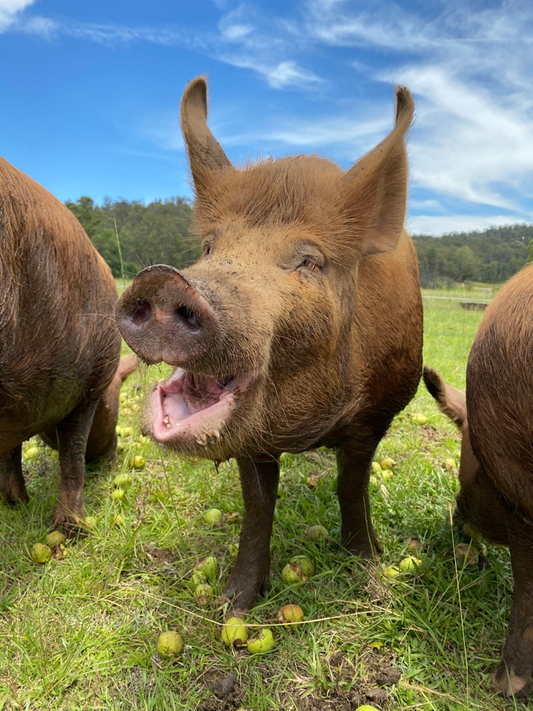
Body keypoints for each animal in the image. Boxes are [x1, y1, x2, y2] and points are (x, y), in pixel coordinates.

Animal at [0, 156, 128, 536]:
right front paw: (69, 531)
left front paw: (60, 529)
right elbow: (72, 455)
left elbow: (66, 457)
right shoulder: (91, 383)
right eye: (116, 389)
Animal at [117, 76, 424, 612]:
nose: (164, 280)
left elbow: (352, 484)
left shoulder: (375, 416)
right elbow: (258, 503)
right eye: (210, 247)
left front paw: (368, 573)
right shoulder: (251, 443)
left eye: (309, 260)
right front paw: (234, 603)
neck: (306, 431)